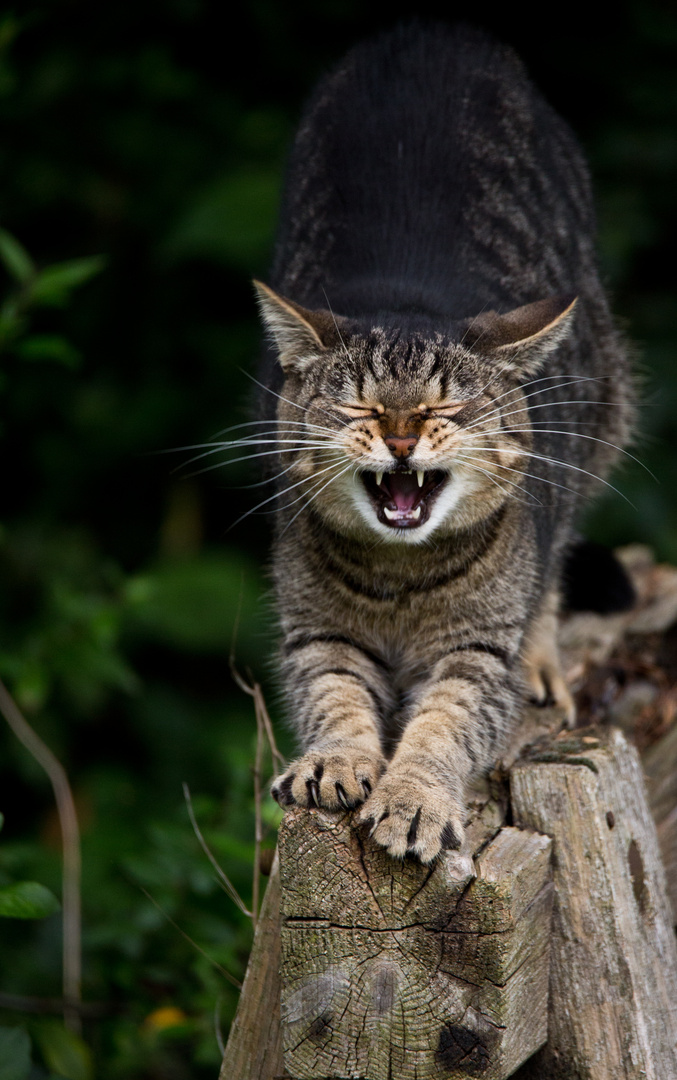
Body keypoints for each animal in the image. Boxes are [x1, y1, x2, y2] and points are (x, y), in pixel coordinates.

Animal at [249, 21, 634, 864]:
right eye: (358, 403)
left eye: (444, 406)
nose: (398, 438)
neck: (401, 579)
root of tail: (430, 30)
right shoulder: (318, 633)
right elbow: (334, 697)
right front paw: (334, 763)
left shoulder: (475, 652)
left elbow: (445, 724)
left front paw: (415, 800)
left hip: (606, 402)